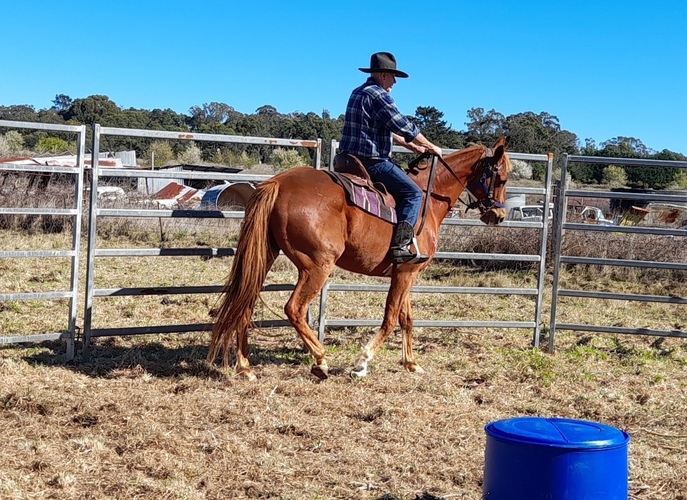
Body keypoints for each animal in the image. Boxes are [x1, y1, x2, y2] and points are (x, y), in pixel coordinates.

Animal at [207, 137, 511, 380]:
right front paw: (362, 363)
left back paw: (246, 366)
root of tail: (278, 183)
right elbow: (390, 318)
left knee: (245, 304)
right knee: (294, 308)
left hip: (265, 257)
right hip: (317, 266)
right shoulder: (405, 273)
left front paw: (411, 363)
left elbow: (406, 318)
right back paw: (320, 360)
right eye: (502, 178)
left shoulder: (407, 272)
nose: (498, 215)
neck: (428, 198)